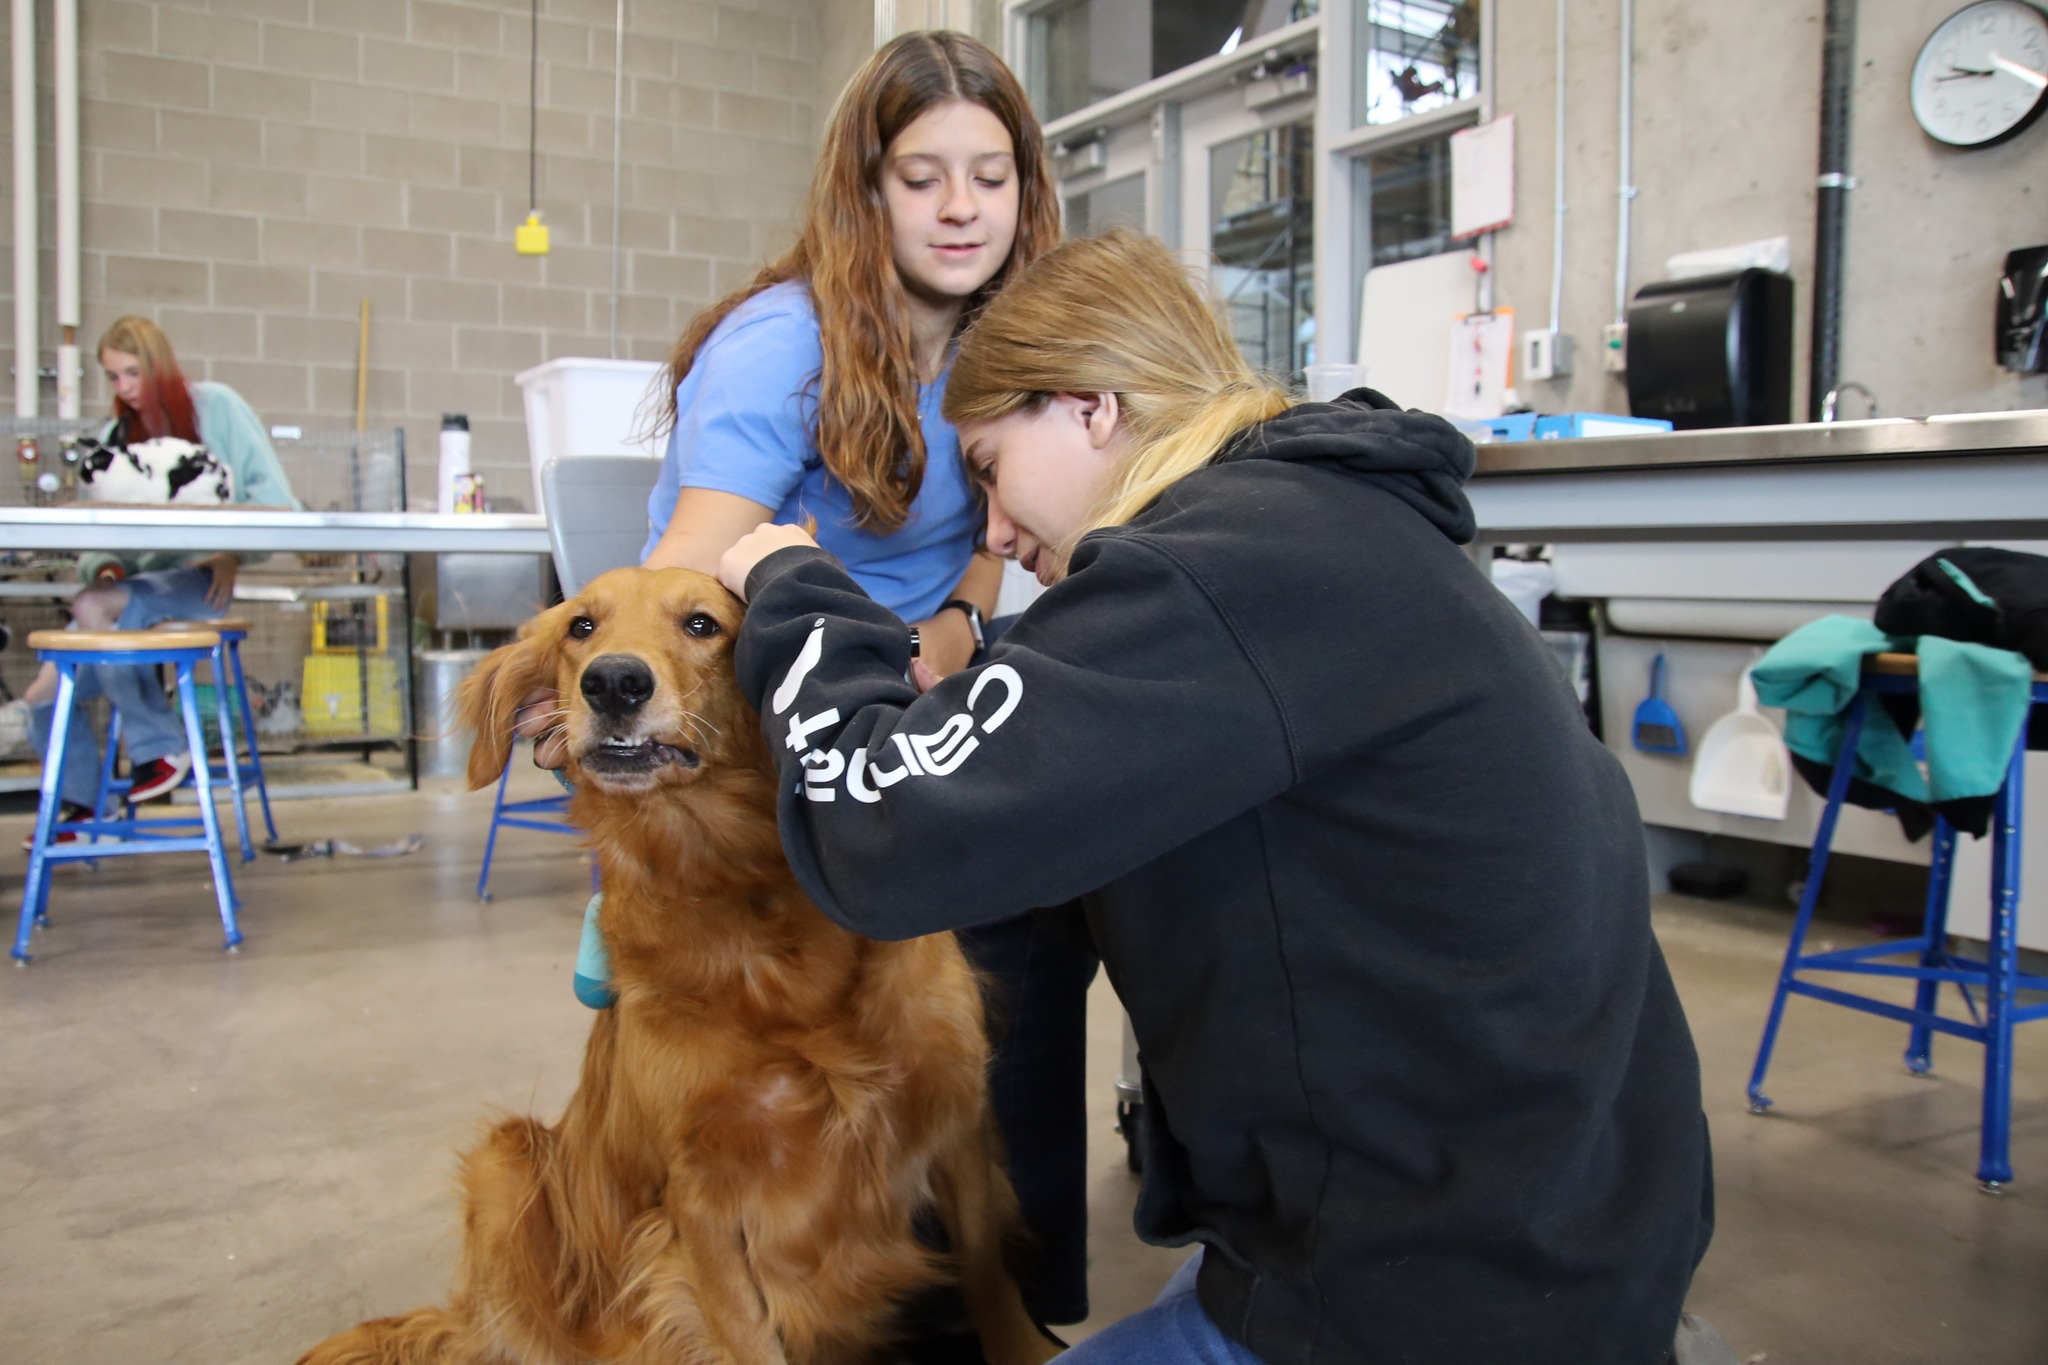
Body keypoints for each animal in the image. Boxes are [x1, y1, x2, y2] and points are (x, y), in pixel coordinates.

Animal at [307, 564, 1056, 1365]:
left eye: (702, 624)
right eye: (581, 626)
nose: (612, 682)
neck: (741, 894)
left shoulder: (955, 1113)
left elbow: (987, 1272)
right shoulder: (700, 1197)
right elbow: (748, 1337)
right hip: (503, 1163)